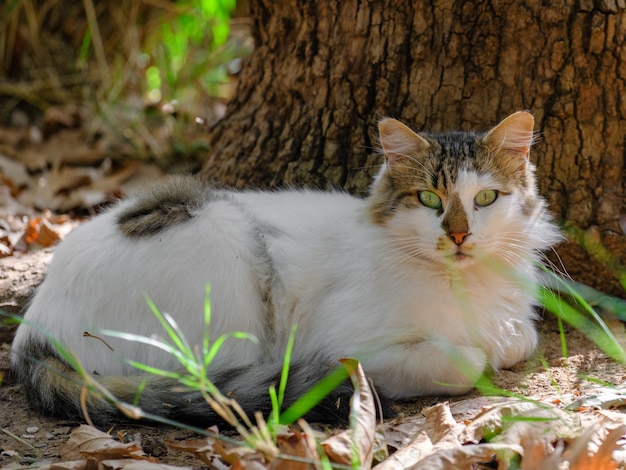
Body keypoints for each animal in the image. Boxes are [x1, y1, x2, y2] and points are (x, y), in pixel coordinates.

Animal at [9, 111, 560, 426]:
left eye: (485, 198)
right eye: (429, 199)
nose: (459, 235)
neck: (466, 285)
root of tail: (30, 334)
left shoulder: (514, 322)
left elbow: (519, 338)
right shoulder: (343, 345)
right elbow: (469, 361)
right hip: (224, 252)